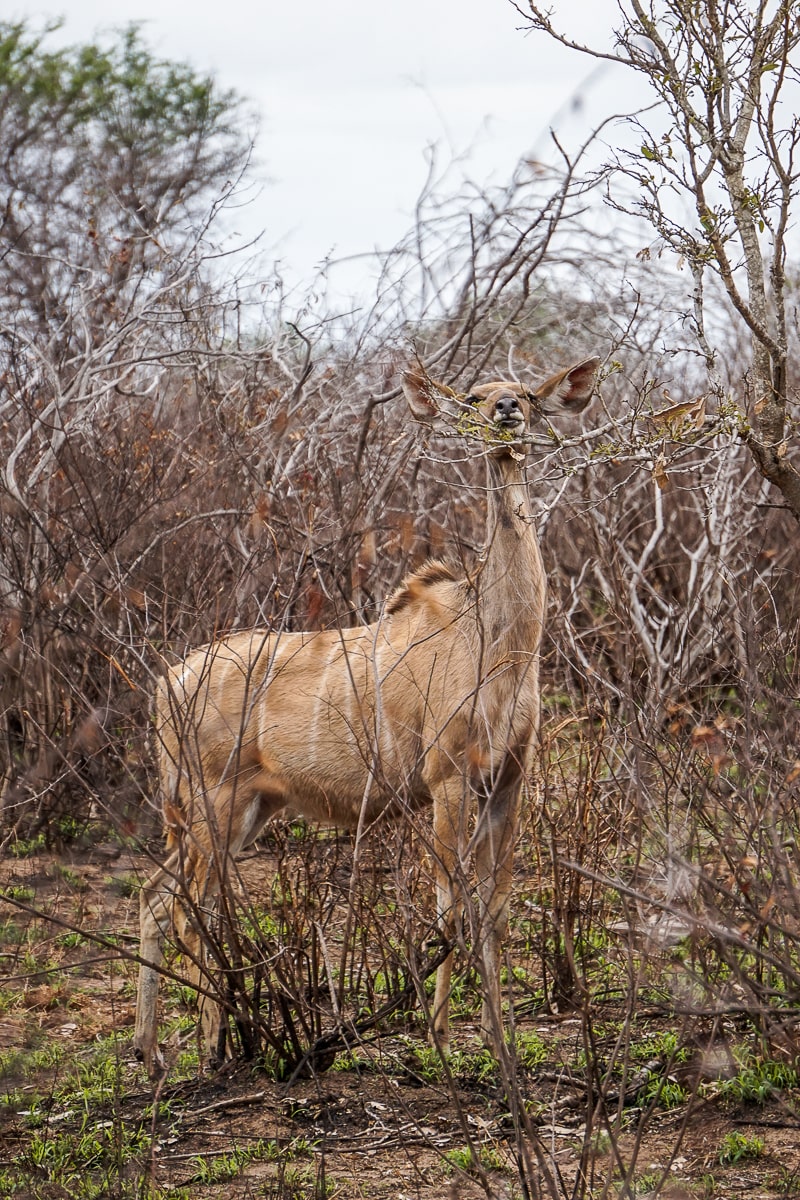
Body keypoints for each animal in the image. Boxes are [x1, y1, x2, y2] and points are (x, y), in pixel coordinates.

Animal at [133, 354, 599, 1079]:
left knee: (158, 899)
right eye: (475, 396)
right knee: (186, 911)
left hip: (242, 810)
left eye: (525, 392)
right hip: (208, 802)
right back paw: (211, 1053)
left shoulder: (509, 779)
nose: (505, 414)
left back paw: (155, 1054)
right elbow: (451, 908)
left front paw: (502, 1053)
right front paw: (442, 1045)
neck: (499, 642)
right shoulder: (446, 777)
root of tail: (164, 686)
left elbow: (493, 911)